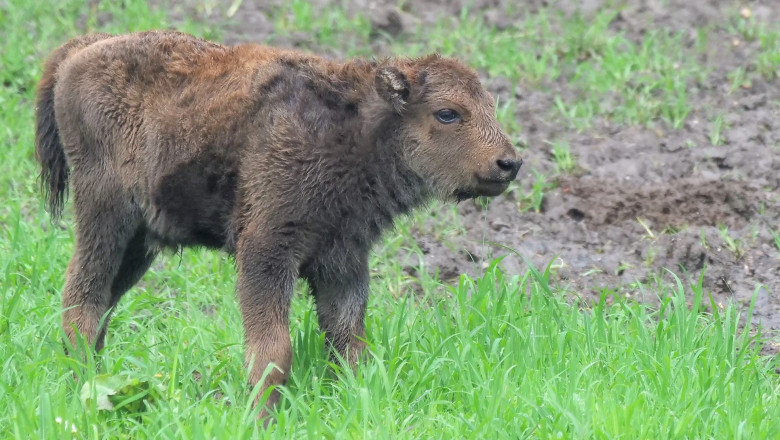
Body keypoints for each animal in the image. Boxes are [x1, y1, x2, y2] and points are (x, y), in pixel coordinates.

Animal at [38, 30, 524, 420]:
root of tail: (83, 49)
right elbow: (274, 349)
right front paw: (262, 417)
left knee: (102, 302)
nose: (510, 163)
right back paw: (83, 385)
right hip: (105, 214)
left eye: (491, 106)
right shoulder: (267, 252)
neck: (355, 131)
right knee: (82, 298)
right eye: (447, 113)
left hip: (139, 242)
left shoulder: (343, 262)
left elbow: (349, 341)